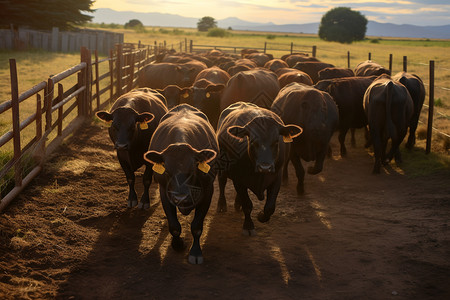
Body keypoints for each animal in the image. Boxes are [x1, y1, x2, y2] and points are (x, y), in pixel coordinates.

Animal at [142, 104, 216, 264]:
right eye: (167, 170)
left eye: (193, 169)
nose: (181, 198)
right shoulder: (164, 191)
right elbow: (174, 225)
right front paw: (177, 244)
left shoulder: (208, 190)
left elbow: (197, 227)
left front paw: (195, 252)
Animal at [215, 102, 300, 236]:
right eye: (253, 142)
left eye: (276, 141)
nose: (265, 167)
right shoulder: (238, 179)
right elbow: (247, 204)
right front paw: (248, 226)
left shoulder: (276, 177)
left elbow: (270, 207)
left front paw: (261, 216)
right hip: (222, 169)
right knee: (222, 183)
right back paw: (222, 205)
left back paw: (237, 204)